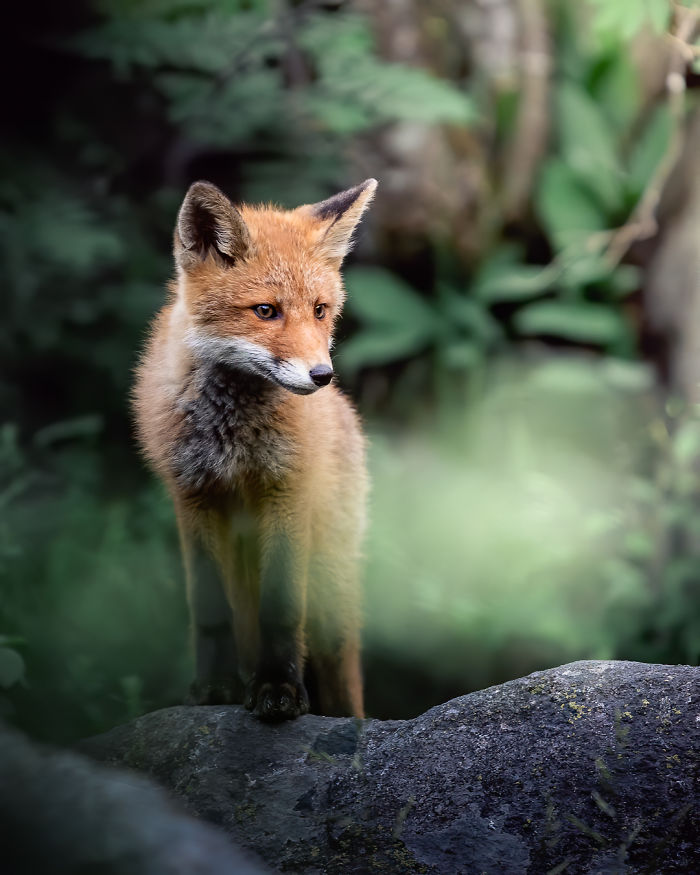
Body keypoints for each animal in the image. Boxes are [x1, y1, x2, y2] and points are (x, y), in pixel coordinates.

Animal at [132, 178, 377, 721]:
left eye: (320, 310)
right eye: (266, 310)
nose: (322, 376)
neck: (233, 437)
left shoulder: (285, 491)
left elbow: (282, 611)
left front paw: (279, 689)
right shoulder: (193, 497)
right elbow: (209, 613)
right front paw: (213, 689)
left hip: (330, 579)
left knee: (343, 672)